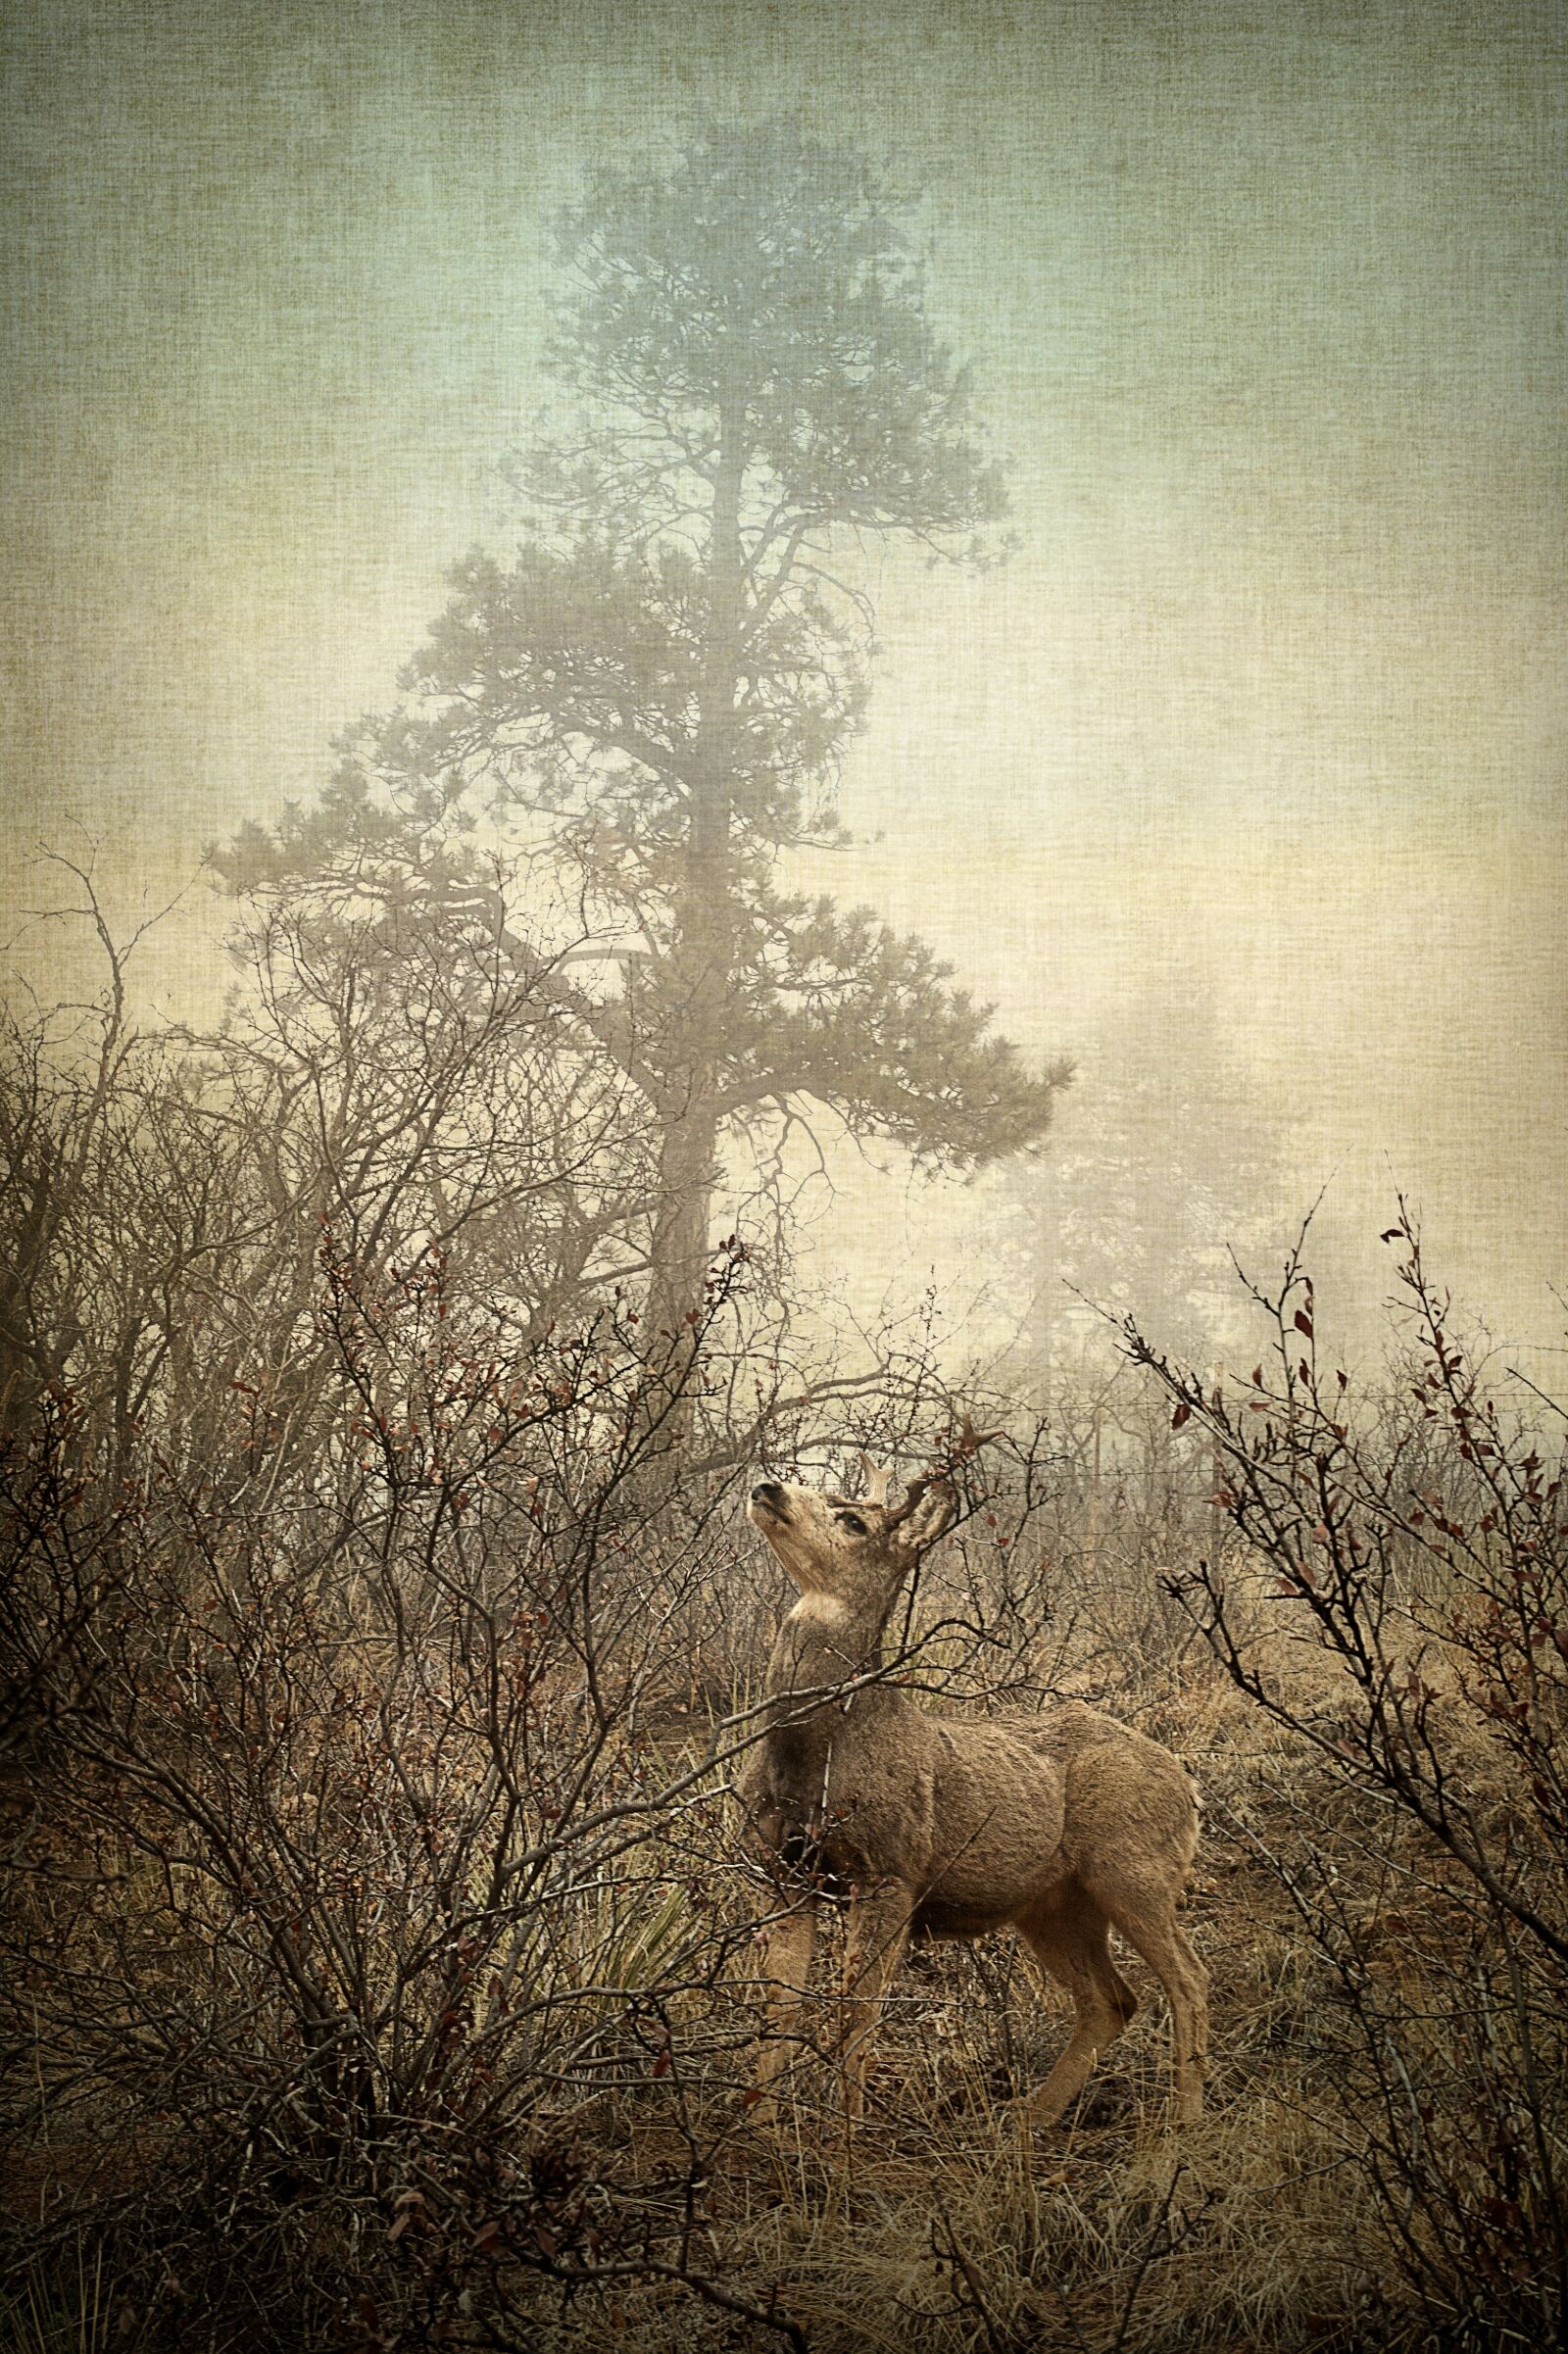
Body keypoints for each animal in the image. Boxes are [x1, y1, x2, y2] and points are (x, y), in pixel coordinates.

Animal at [737, 1451, 1207, 2132]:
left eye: (853, 1521)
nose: (767, 1485)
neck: (812, 1754)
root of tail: (1189, 1786)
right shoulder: (777, 1867)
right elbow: (779, 2005)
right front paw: (758, 2126)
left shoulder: (891, 1866)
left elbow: (858, 2010)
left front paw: (848, 2137)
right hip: (1053, 1905)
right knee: (1112, 2000)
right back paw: (1026, 2121)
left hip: (1134, 1866)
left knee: (1188, 1980)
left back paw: (1183, 2125)